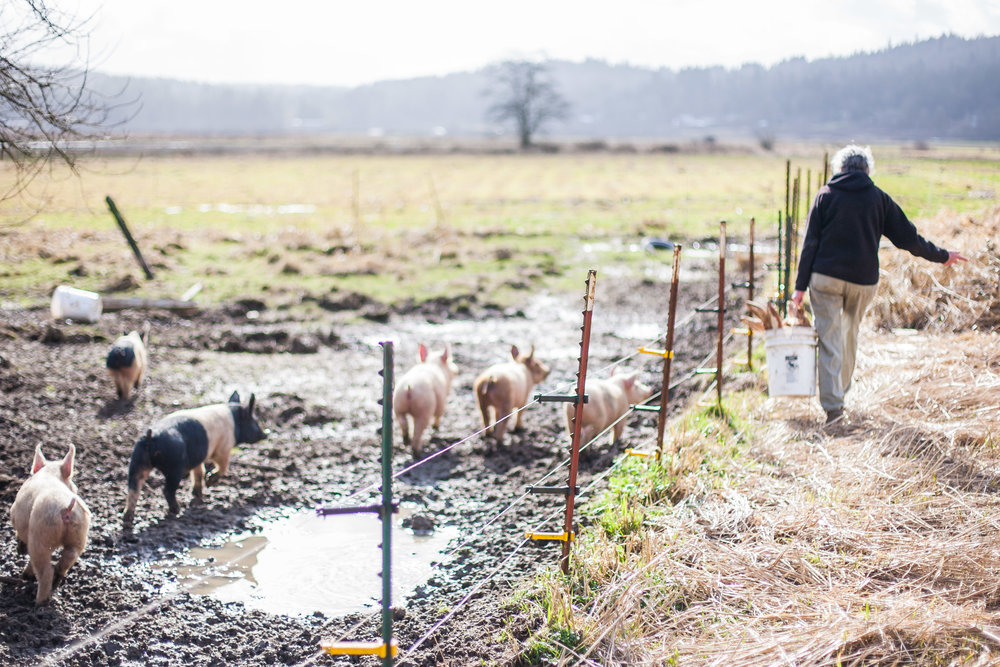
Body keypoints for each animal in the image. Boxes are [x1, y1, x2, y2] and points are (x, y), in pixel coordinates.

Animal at [122, 392, 266, 528]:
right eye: (255, 420)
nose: (265, 434)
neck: (234, 420)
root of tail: (151, 437)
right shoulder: (223, 448)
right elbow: (223, 466)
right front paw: (209, 482)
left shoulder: (198, 458)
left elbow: (199, 473)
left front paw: (198, 494)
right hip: (174, 467)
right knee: (167, 490)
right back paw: (176, 510)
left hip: (137, 461)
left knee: (133, 489)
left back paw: (127, 520)